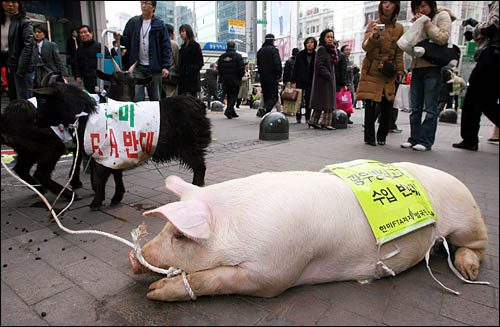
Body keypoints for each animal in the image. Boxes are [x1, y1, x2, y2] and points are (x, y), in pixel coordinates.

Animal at [34, 71, 211, 210]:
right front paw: (116, 197)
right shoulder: (116, 153)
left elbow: (101, 177)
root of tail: (198, 103)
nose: (36, 122)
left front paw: (96, 202)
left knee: (199, 168)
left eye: (43, 100)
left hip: (190, 146)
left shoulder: (104, 152)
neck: (86, 114)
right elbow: (115, 173)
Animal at [128, 163, 488, 304]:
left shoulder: (275, 271)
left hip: (469, 218)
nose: (134, 257)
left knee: (477, 245)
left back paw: (469, 272)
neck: (239, 223)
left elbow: (218, 278)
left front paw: (156, 293)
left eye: (179, 236)